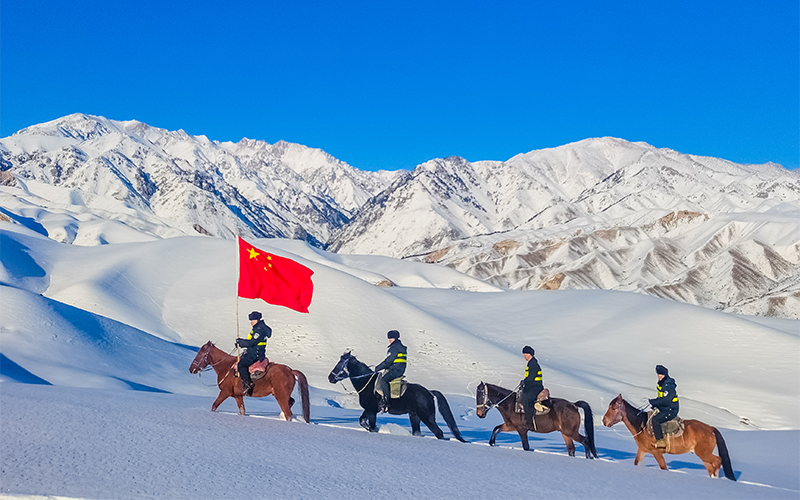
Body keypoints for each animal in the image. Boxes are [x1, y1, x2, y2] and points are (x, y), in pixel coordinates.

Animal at [330, 352, 468, 442]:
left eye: (340, 365)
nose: (330, 378)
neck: (367, 383)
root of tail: (429, 392)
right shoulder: (369, 410)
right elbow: (362, 422)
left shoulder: (371, 411)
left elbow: (371, 426)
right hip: (415, 416)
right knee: (418, 432)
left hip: (427, 417)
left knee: (438, 432)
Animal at [600, 394, 736, 480]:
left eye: (613, 407)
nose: (604, 421)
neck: (642, 424)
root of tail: (711, 429)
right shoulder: (642, 450)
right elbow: (636, 463)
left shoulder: (657, 452)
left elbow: (663, 467)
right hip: (704, 456)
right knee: (711, 466)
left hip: (704, 453)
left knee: (718, 461)